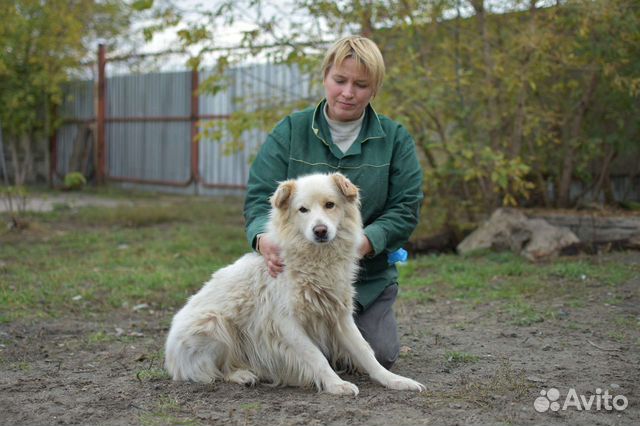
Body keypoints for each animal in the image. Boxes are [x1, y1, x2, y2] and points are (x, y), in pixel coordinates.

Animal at [165, 173, 424, 396]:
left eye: (330, 205)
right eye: (303, 209)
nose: (320, 231)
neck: (315, 261)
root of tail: (170, 359)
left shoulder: (339, 316)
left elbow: (366, 351)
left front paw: (394, 380)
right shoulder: (286, 324)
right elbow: (316, 356)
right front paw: (336, 384)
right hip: (215, 324)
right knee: (215, 370)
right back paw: (242, 375)